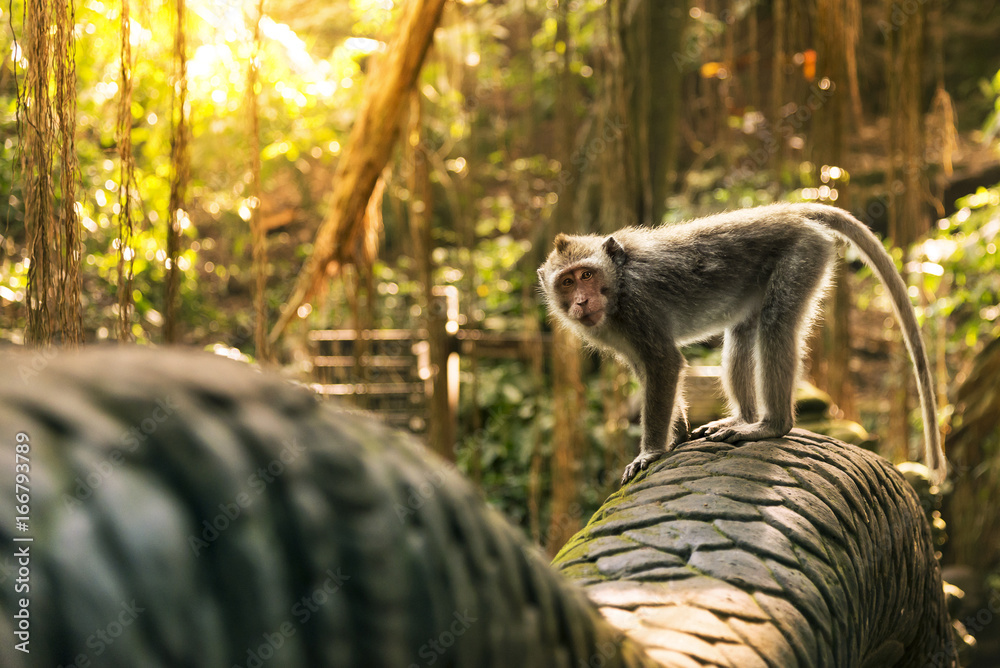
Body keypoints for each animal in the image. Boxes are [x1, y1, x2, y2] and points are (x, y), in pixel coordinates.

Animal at [537, 202, 946, 486]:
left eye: (587, 275)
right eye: (567, 282)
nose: (581, 302)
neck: (618, 284)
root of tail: (788, 211)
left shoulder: (638, 308)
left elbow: (664, 364)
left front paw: (650, 451)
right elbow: (647, 369)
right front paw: (679, 432)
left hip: (803, 254)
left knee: (775, 327)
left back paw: (771, 425)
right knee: (741, 333)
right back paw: (744, 418)